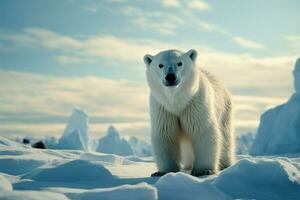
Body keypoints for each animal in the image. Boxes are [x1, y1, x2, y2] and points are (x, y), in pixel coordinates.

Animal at [144, 48, 236, 177]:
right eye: (160, 65)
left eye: (180, 63)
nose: (170, 77)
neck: (177, 102)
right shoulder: (162, 108)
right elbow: (165, 134)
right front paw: (163, 172)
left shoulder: (195, 104)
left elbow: (202, 131)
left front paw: (203, 170)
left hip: (224, 110)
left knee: (225, 137)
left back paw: (224, 164)